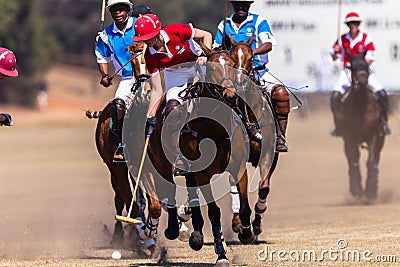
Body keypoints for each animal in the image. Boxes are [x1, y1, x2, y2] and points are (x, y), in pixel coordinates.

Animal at [338, 50, 384, 201]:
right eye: (352, 67)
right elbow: (353, 161)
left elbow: (370, 161)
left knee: (376, 159)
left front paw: (369, 190)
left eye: (365, 65)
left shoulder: (374, 135)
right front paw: (356, 189)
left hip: (381, 139)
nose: (362, 82)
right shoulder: (349, 138)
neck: (361, 107)